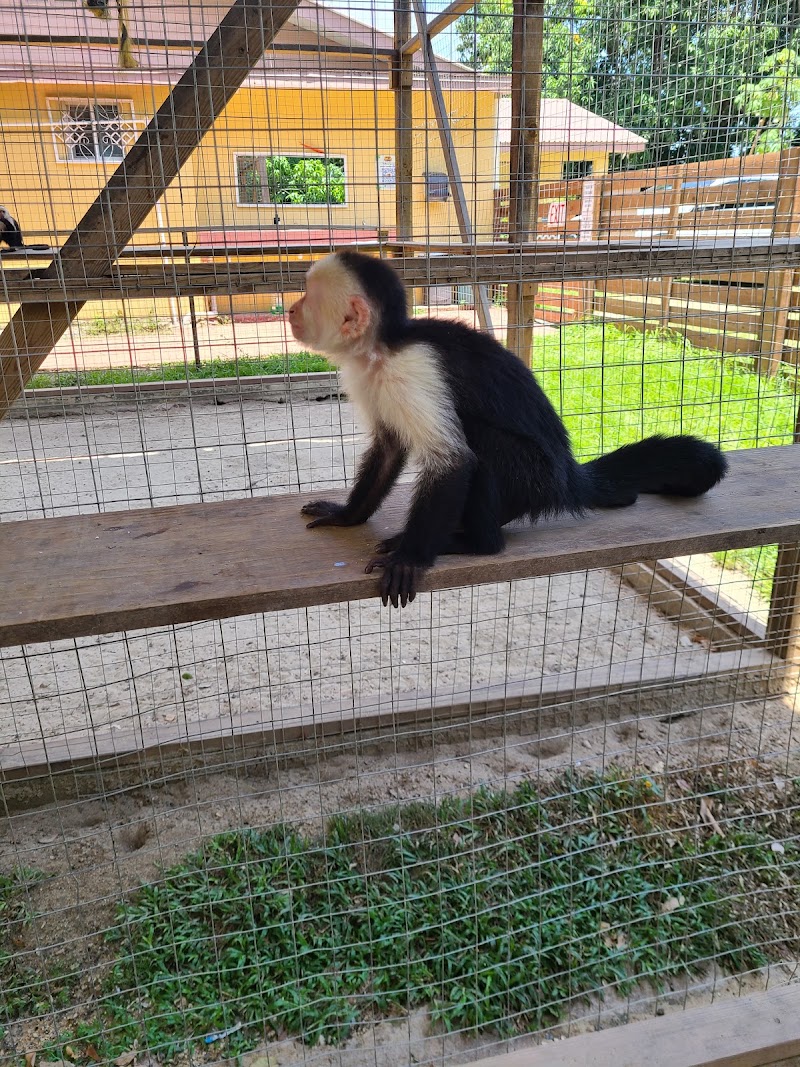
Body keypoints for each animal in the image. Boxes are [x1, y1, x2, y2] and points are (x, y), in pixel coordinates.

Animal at [288, 250, 727, 609]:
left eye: (307, 296)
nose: (290, 310)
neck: (381, 349)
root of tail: (567, 477)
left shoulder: (412, 370)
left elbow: (453, 461)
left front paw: (410, 559)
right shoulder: (367, 378)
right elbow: (388, 449)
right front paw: (347, 515)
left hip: (531, 478)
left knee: (481, 444)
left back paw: (475, 543)